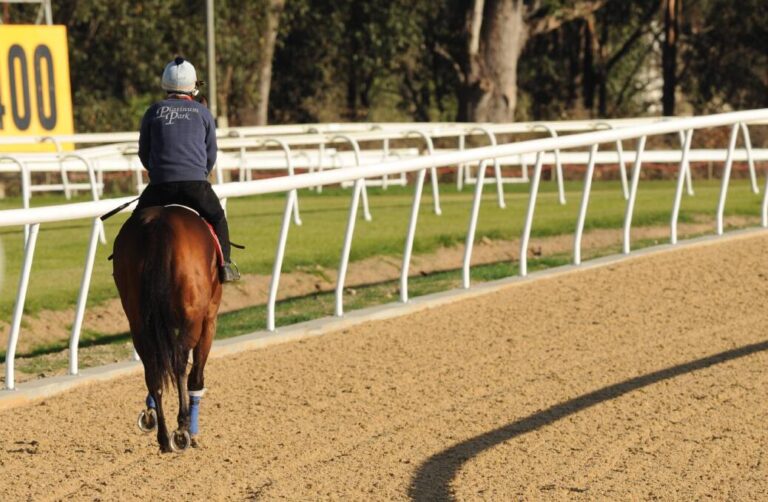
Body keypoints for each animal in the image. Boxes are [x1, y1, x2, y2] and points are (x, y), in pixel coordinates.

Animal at [112, 204, 224, 452]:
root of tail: (157, 225)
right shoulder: (209, 319)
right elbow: (196, 375)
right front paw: (192, 431)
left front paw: (150, 411)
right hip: (193, 319)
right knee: (180, 362)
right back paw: (182, 430)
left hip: (138, 321)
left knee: (153, 368)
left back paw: (163, 435)